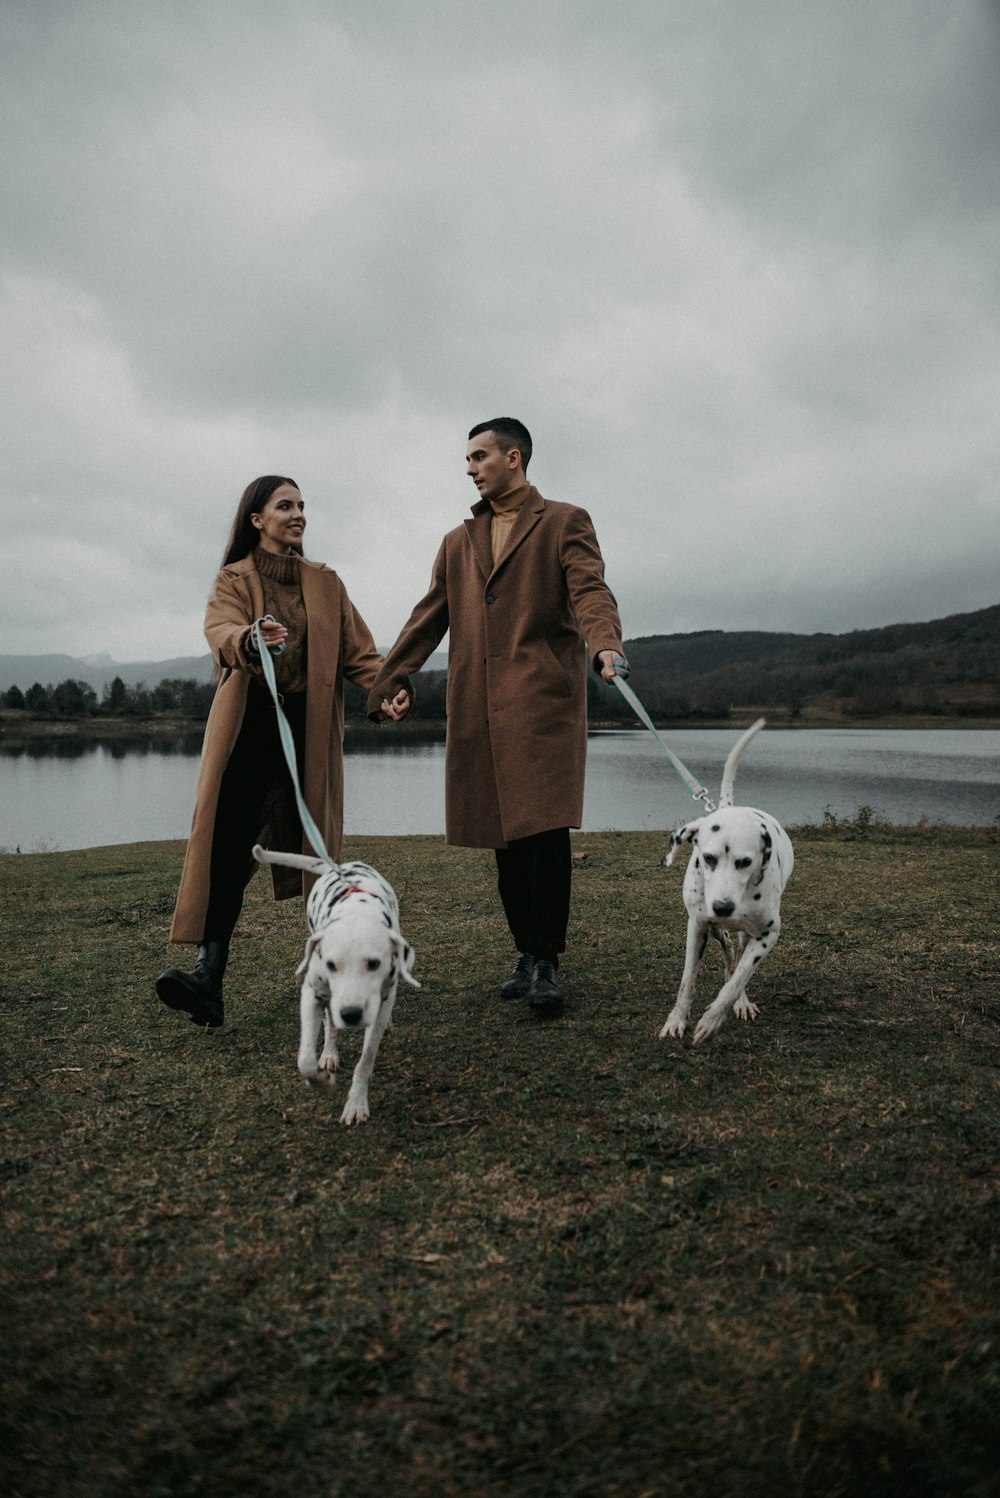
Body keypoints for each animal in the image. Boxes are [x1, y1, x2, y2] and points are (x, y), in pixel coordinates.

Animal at [255, 844, 419, 1126]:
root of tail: (337, 867)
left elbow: (366, 1061)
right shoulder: (313, 994)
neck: (355, 910)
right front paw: (321, 1080)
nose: (350, 1014)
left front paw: (356, 1103)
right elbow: (306, 1060)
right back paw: (330, 1053)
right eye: (331, 964)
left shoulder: (381, 1002)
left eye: (374, 963)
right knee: (329, 1024)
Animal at [658, 719, 790, 1048]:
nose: (722, 906)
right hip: (717, 930)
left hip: (747, 934)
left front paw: (713, 1019)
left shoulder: (768, 934)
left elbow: (738, 978)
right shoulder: (697, 926)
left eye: (745, 862)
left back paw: (740, 1001)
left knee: (737, 963)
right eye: (707, 857)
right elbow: (687, 980)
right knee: (729, 952)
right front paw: (676, 1020)